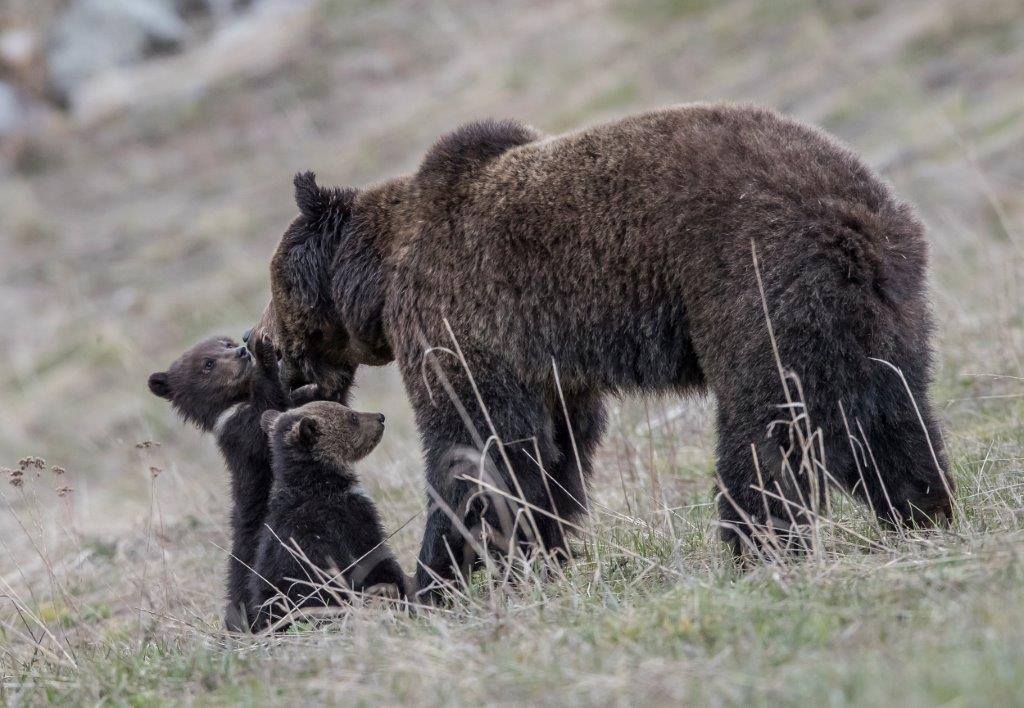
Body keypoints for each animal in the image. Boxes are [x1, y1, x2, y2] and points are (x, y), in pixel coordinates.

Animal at [148, 334, 345, 631]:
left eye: (225, 343)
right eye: (208, 363)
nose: (241, 351)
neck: (240, 399)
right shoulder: (243, 435)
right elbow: (269, 420)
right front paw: (265, 356)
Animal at [248, 103, 955, 599]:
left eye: (273, 285)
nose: (261, 344)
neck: (377, 282)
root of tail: (852, 212)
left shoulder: (456, 321)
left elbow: (475, 446)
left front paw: (438, 583)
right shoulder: (550, 366)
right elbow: (551, 456)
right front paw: (539, 554)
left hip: (753, 281)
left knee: (767, 429)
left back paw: (756, 546)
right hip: (885, 305)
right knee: (891, 412)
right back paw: (923, 509)